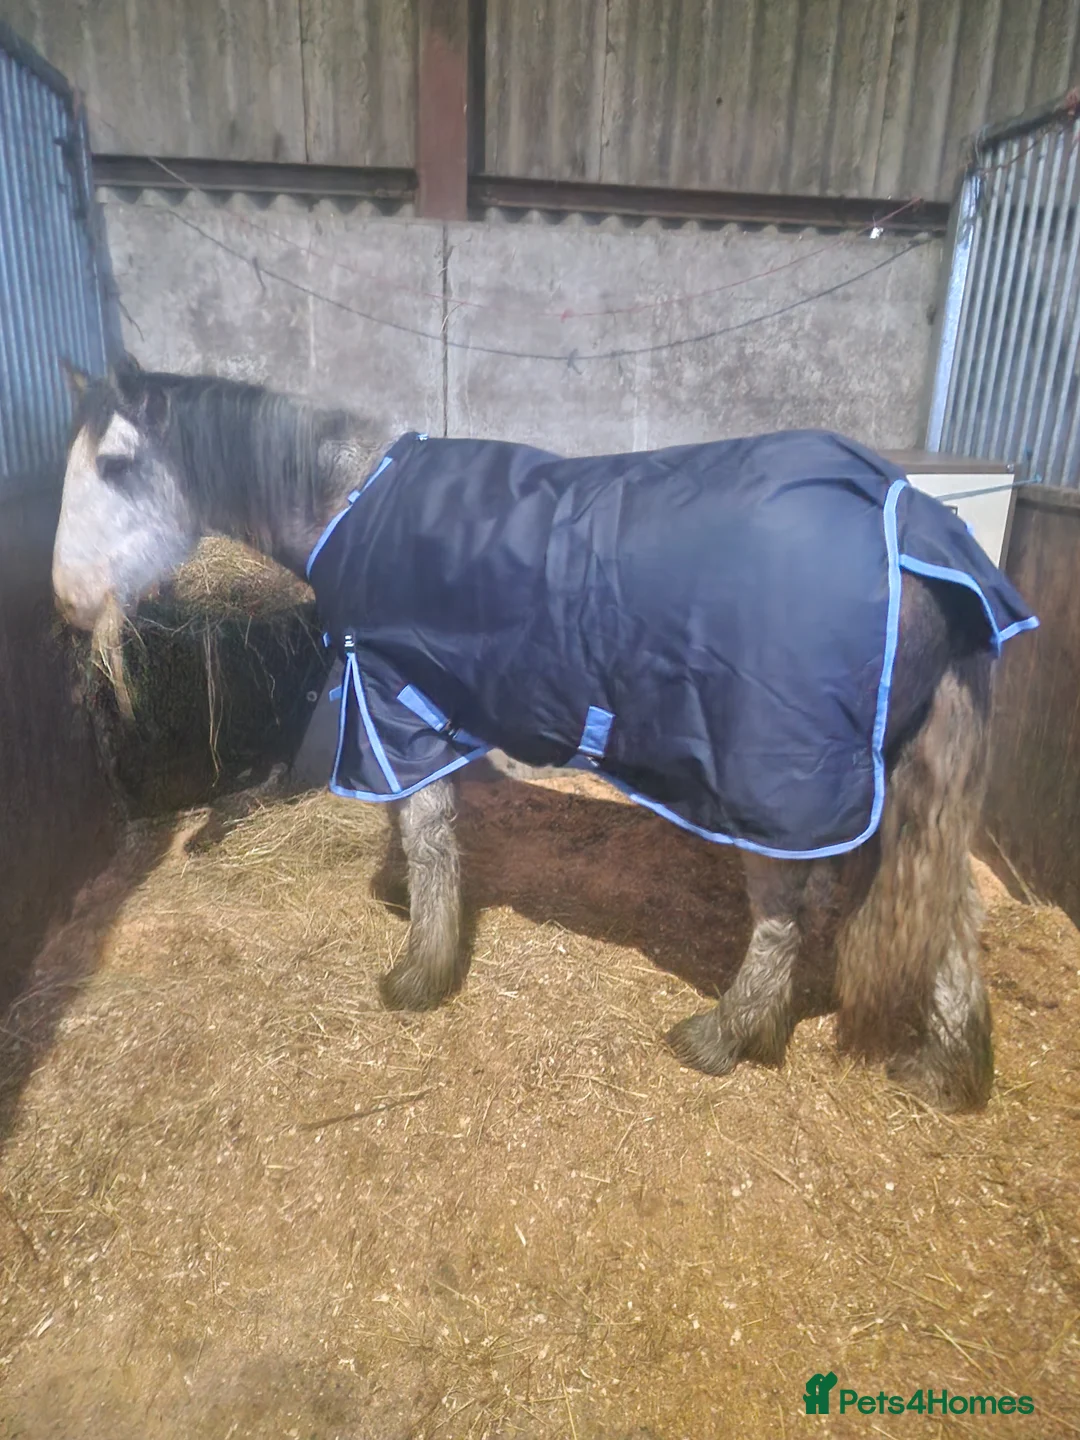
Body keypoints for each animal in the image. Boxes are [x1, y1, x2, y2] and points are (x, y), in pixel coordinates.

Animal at [52, 358, 1033, 1113]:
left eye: (119, 464)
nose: (66, 601)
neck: (350, 501)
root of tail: (917, 524)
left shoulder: (395, 698)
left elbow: (427, 830)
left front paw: (420, 972)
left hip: (778, 782)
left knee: (789, 915)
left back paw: (726, 1034)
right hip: (890, 775)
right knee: (948, 907)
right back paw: (944, 1071)